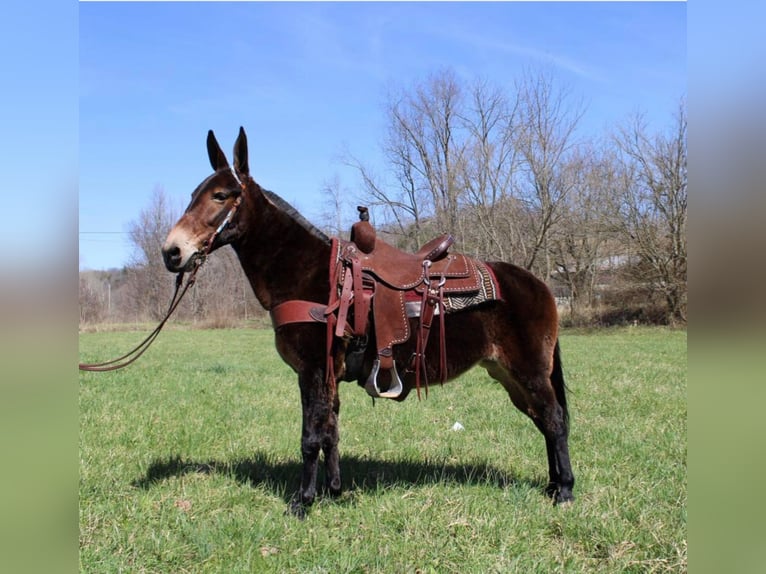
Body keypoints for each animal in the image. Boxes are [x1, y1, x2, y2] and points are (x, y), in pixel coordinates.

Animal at [164, 127, 576, 516]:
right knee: (543, 420)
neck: (309, 274)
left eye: (220, 196)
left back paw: (566, 491)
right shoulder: (325, 374)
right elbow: (330, 431)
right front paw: (333, 490)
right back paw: (551, 485)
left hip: (529, 371)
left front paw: (302, 502)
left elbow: (310, 437)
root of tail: (539, 285)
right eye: (193, 194)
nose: (172, 252)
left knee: (554, 420)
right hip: (508, 375)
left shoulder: (313, 370)